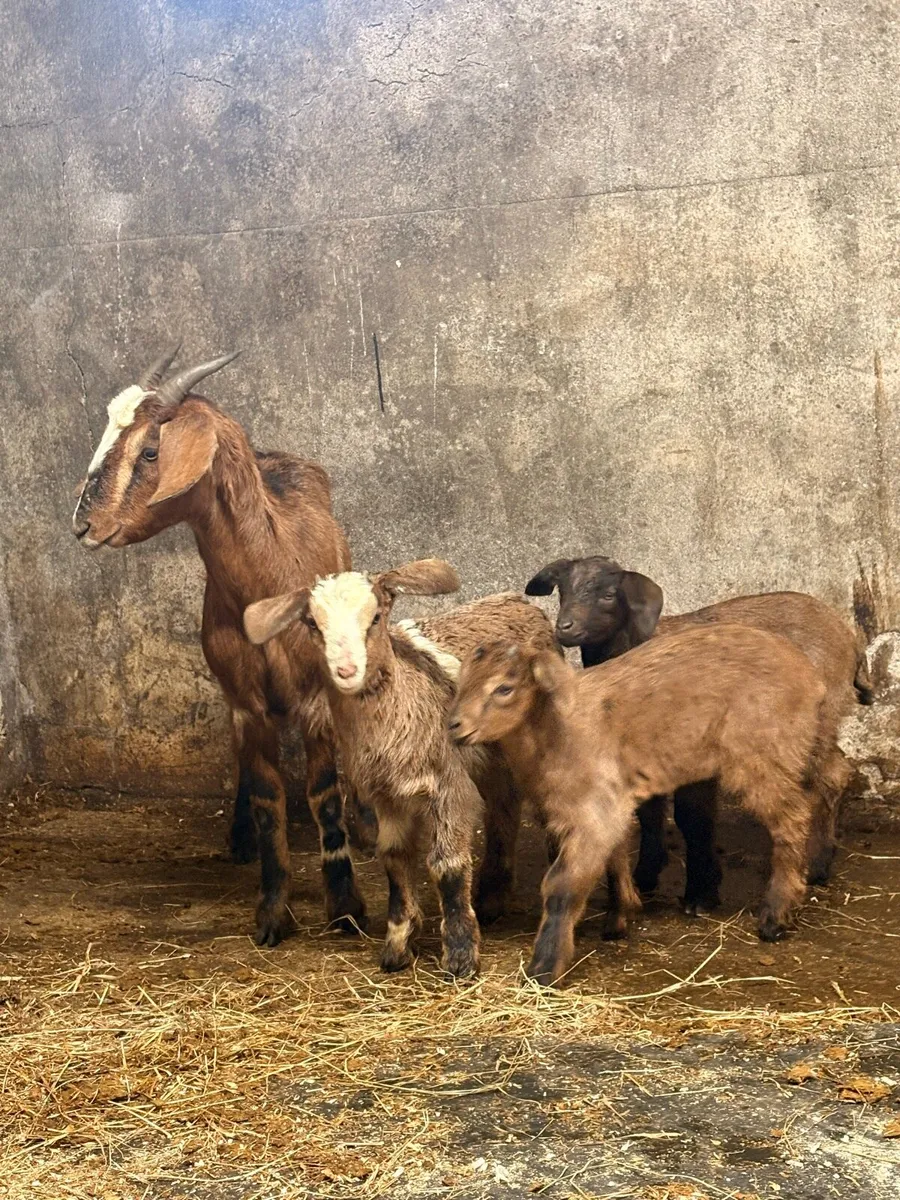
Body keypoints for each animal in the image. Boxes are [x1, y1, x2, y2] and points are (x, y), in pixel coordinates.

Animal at [72, 345, 366, 946]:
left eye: (151, 450)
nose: (83, 524)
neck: (268, 580)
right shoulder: (245, 702)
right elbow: (267, 797)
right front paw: (273, 913)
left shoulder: (317, 697)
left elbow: (324, 795)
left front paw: (346, 908)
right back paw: (239, 838)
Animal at [244, 562, 558, 977]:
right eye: (313, 623)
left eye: (376, 617)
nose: (346, 670)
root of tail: (518, 601)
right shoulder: (386, 796)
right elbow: (393, 859)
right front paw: (398, 943)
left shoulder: (448, 785)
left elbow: (447, 865)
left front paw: (460, 955)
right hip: (492, 762)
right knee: (503, 807)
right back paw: (491, 898)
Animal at [450, 626, 835, 985]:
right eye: (461, 684)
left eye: (504, 688)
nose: (454, 726)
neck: (559, 729)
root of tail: (811, 676)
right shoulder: (607, 805)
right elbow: (616, 858)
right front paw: (621, 917)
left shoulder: (593, 810)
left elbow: (561, 886)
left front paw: (544, 968)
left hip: (763, 755)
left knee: (792, 819)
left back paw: (776, 916)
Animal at [526, 556, 872, 905]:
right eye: (562, 590)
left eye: (609, 594)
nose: (564, 627)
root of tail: (848, 637)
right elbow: (651, 812)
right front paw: (647, 875)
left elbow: (693, 817)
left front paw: (700, 892)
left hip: (814, 718)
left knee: (832, 776)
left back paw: (817, 864)